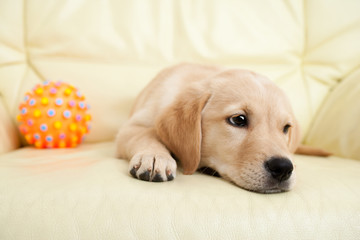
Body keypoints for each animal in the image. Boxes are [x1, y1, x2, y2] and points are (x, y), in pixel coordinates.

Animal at [116, 63, 324, 193]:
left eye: (286, 128)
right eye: (239, 120)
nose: (283, 168)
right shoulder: (130, 128)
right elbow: (145, 134)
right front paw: (154, 156)